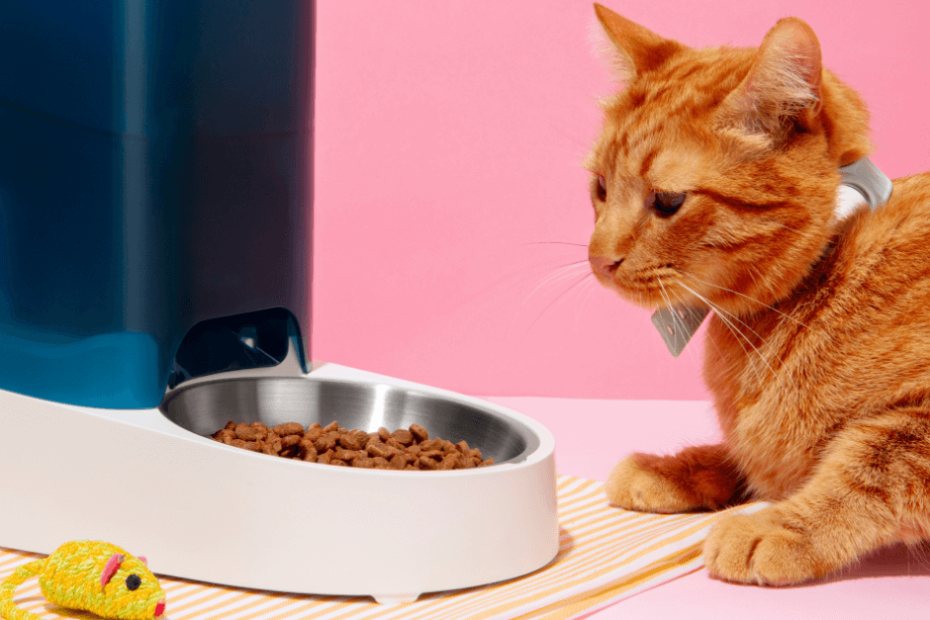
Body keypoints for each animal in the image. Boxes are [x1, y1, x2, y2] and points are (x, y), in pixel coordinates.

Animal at [588, 3, 928, 588]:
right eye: (601, 189)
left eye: (668, 201)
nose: (597, 258)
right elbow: (752, 454)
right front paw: (677, 469)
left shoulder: (918, 422)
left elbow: (874, 464)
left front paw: (782, 525)